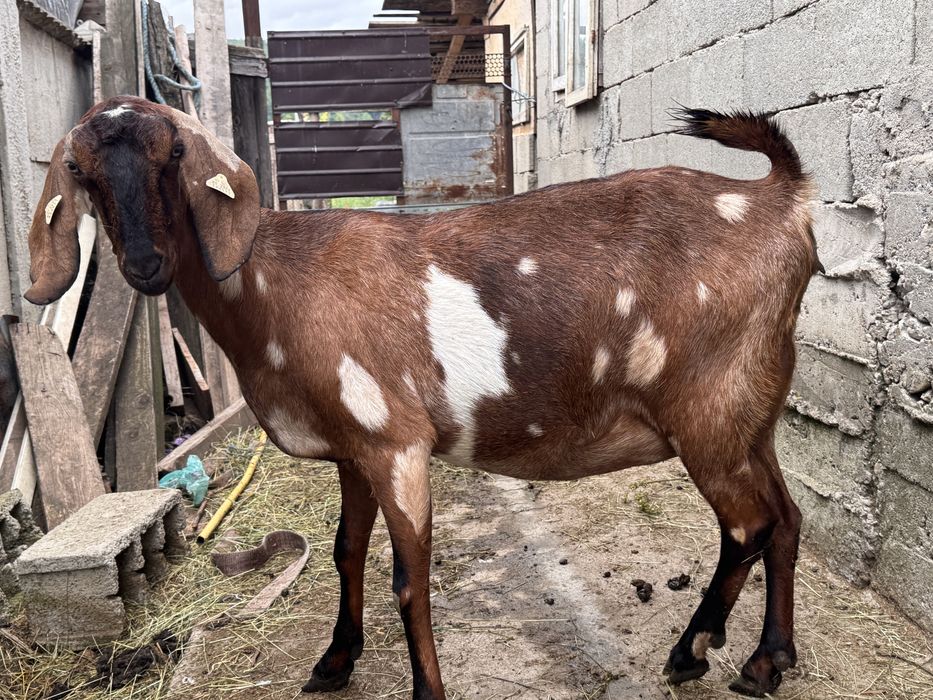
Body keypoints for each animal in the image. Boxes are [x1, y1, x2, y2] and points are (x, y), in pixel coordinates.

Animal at [26, 95, 820, 699]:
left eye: (173, 156)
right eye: (80, 171)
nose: (145, 264)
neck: (275, 286)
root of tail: (777, 201)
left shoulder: (395, 440)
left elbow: (410, 579)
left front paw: (423, 688)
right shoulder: (352, 449)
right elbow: (346, 550)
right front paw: (333, 662)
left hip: (708, 411)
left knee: (748, 525)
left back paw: (692, 652)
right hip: (752, 412)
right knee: (785, 518)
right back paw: (766, 661)